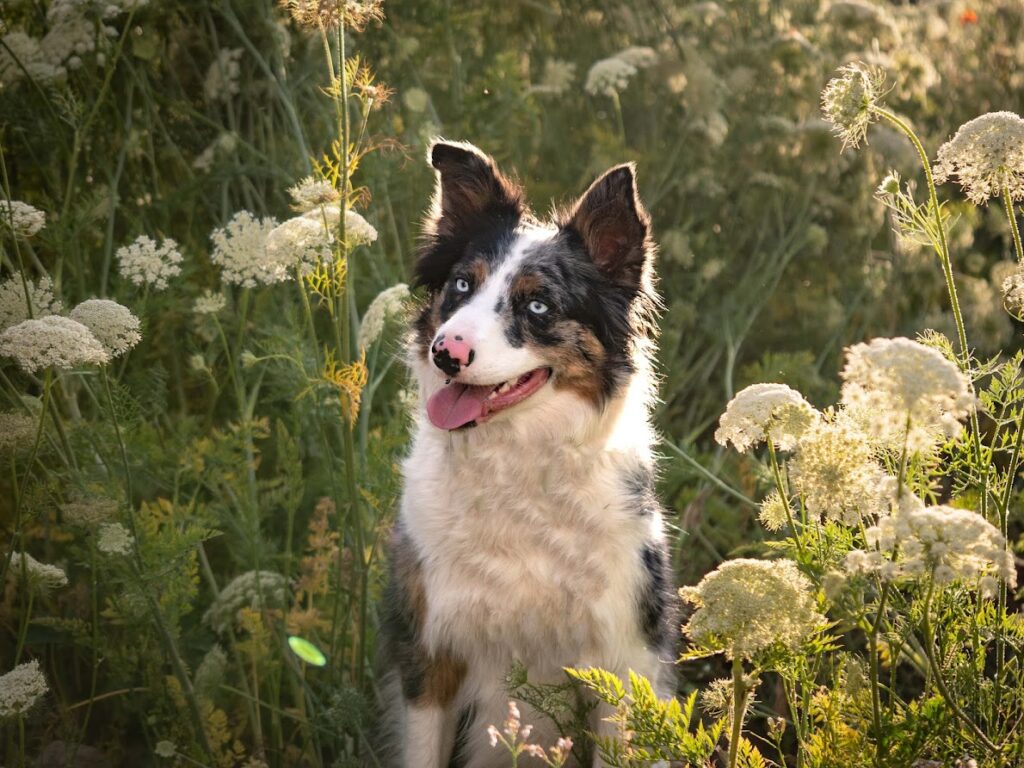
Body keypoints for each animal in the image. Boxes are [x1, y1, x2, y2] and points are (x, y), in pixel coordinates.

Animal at [380, 140, 675, 768]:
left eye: (538, 306)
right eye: (461, 285)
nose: (445, 352)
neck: (513, 462)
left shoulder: (621, 661)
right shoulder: (429, 656)